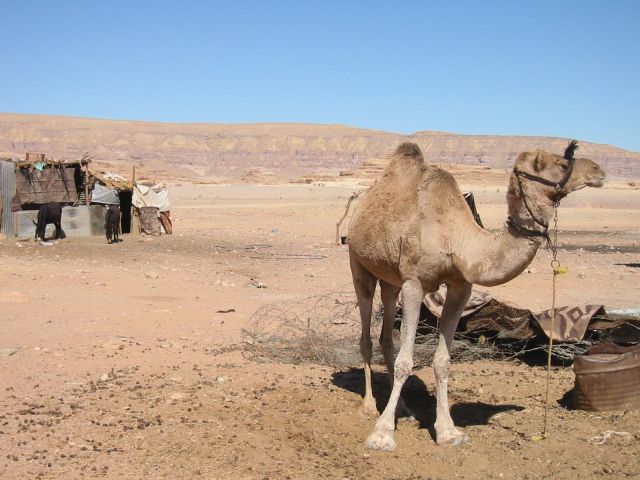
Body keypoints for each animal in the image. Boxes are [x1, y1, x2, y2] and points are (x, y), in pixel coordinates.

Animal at [350, 139, 604, 450]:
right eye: (564, 163)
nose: (599, 170)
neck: (457, 238)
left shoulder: (461, 287)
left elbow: (442, 361)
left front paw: (448, 432)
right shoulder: (414, 282)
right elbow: (405, 362)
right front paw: (382, 434)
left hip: (390, 279)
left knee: (386, 337)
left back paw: (403, 409)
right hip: (359, 264)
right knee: (366, 335)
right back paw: (370, 407)